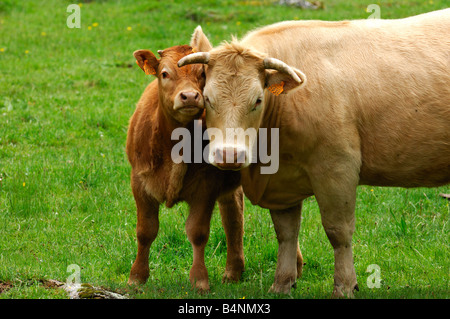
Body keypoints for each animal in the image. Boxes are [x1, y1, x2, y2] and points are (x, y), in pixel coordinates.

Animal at [126, 45, 244, 292]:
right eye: (164, 73)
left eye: (202, 74)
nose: (189, 96)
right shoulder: (139, 182)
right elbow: (145, 231)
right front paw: (137, 277)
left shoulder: (206, 187)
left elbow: (197, 232)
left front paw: (199, 279)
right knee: (233, 215)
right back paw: (233, 272)